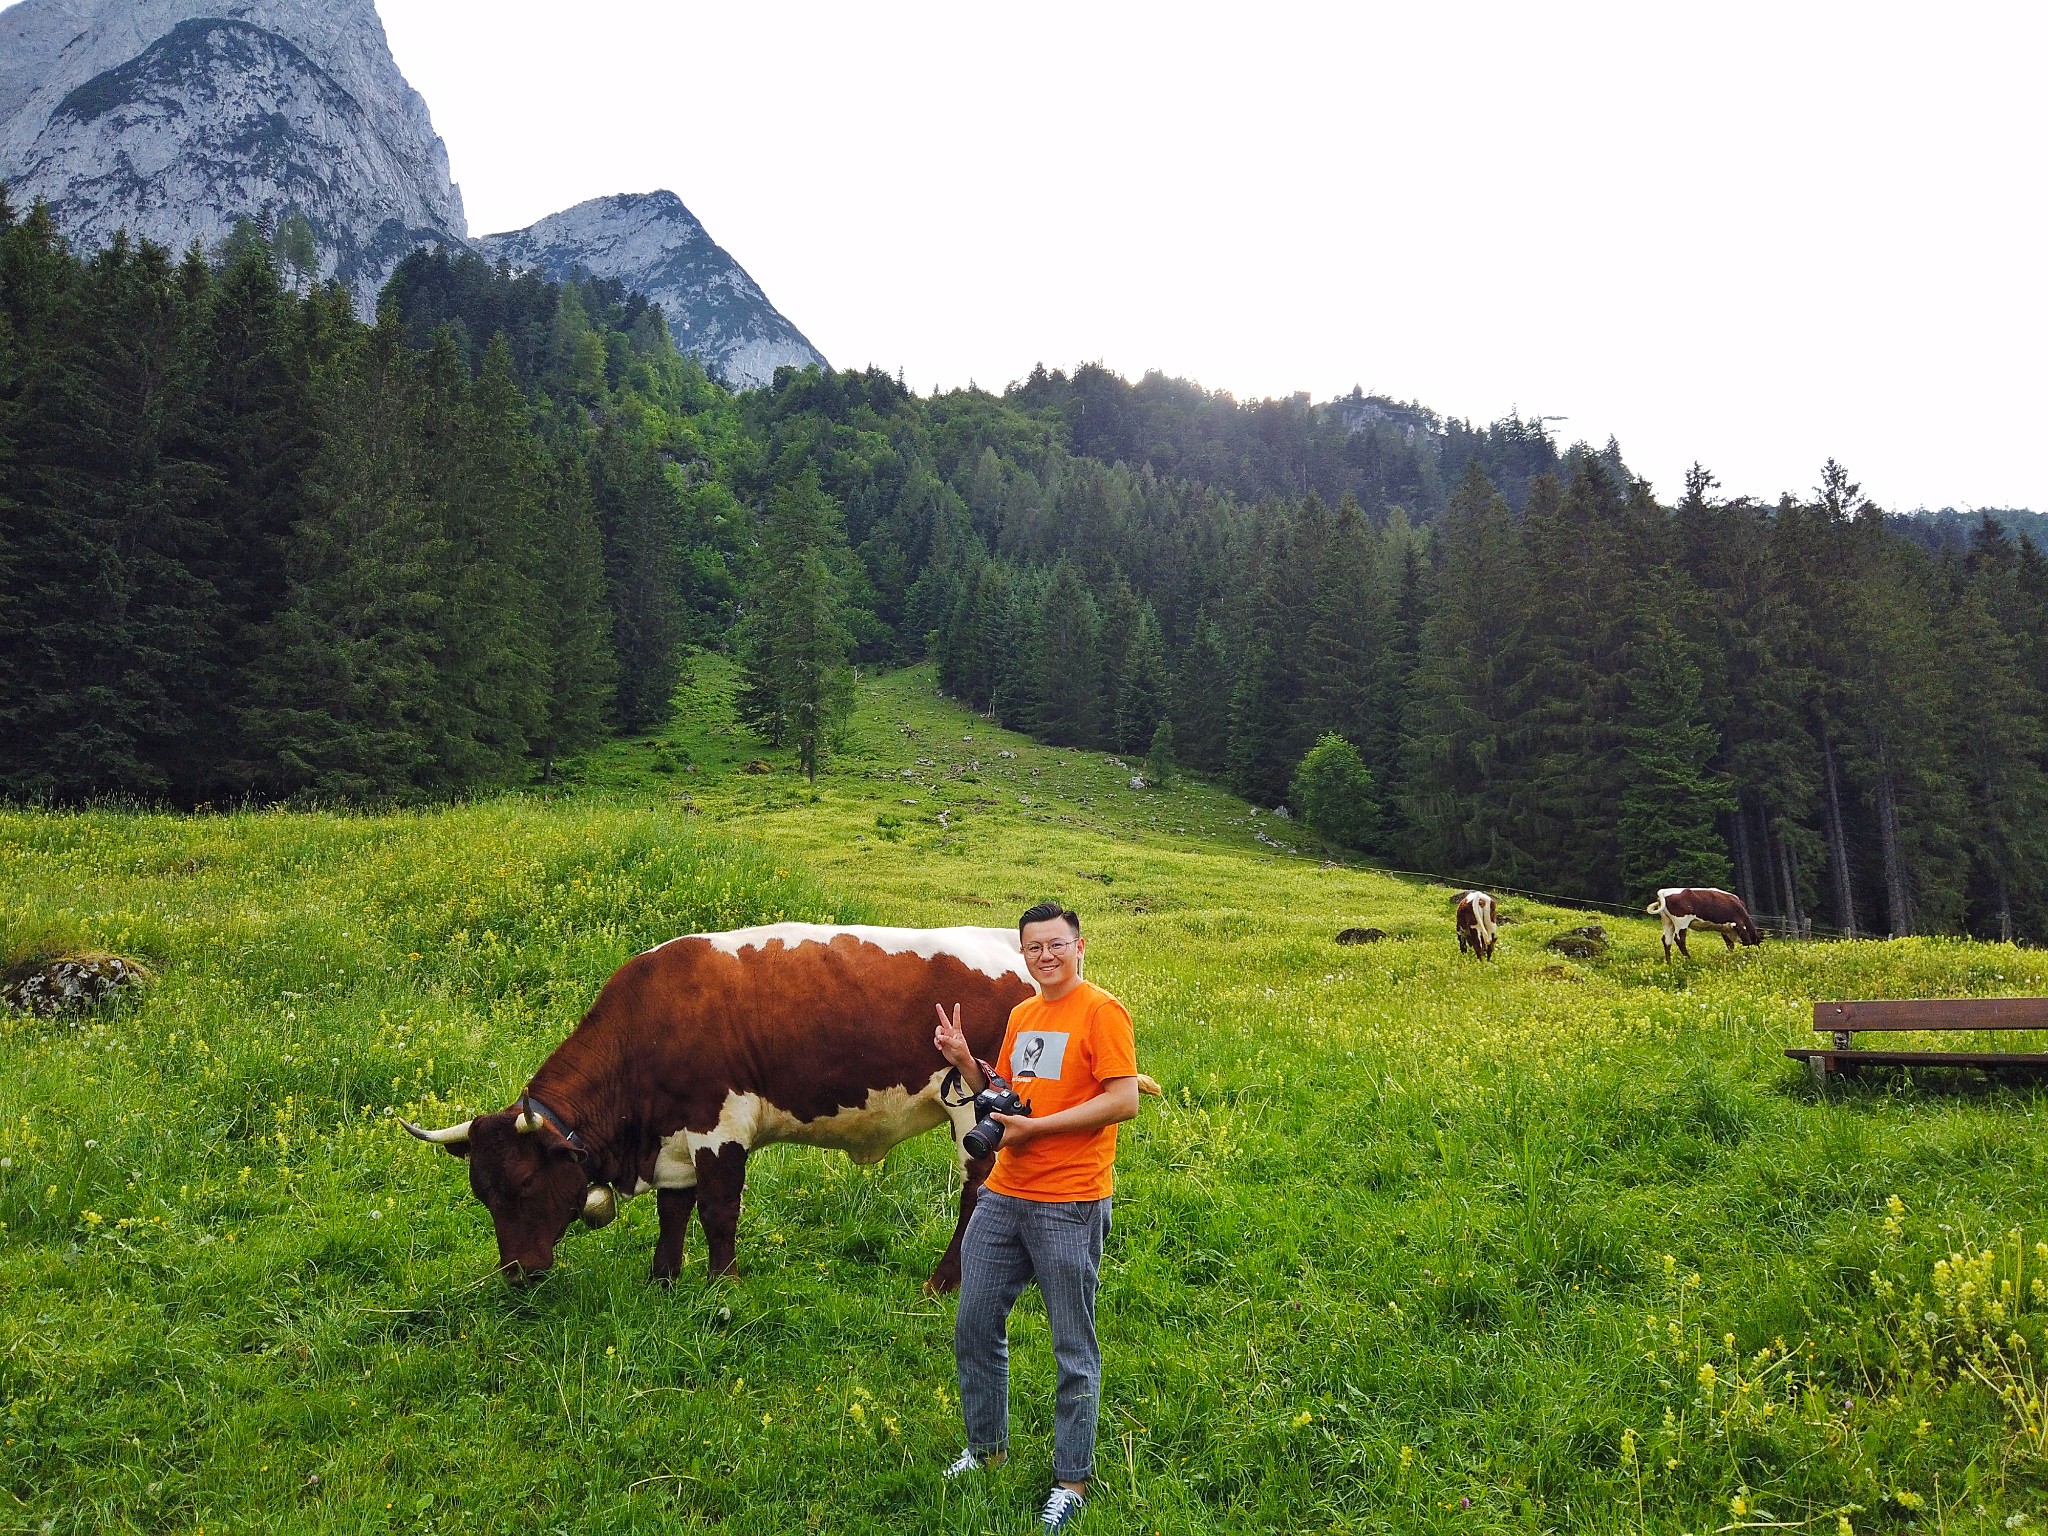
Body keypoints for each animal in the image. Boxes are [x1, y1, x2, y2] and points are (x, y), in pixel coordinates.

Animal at [403, 925, 1155, 1302]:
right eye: (483, 1194)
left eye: (527, 1183)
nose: (518, 1274)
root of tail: (1013, 945)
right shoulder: (674, 1138)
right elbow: (674, 1210)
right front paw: (663, 1279)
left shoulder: (719, 1127)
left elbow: (716, 1211)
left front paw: (722, 1286)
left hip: (978, 1114)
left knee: (977, 1195)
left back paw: (946, 1282)